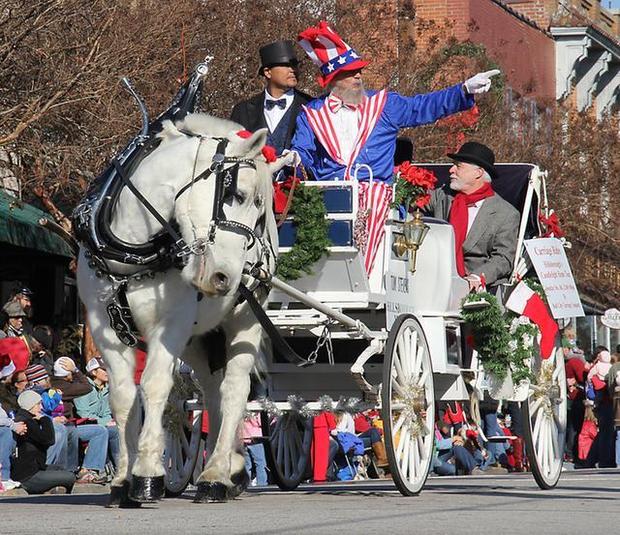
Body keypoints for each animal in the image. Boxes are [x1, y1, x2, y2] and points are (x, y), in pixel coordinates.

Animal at [77, 114, 290, 506]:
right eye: (237, 195)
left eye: (259, 209)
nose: (226, 277)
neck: (131, 254)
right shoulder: (103, 326)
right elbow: (123, 398)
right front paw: (123, 480)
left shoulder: (170, 324)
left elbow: (155, 385)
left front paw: (147, 474)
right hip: (198, 337)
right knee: (211, 389)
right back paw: (231, 468)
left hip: (246, 318)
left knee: (234, 388)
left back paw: (216, 475)